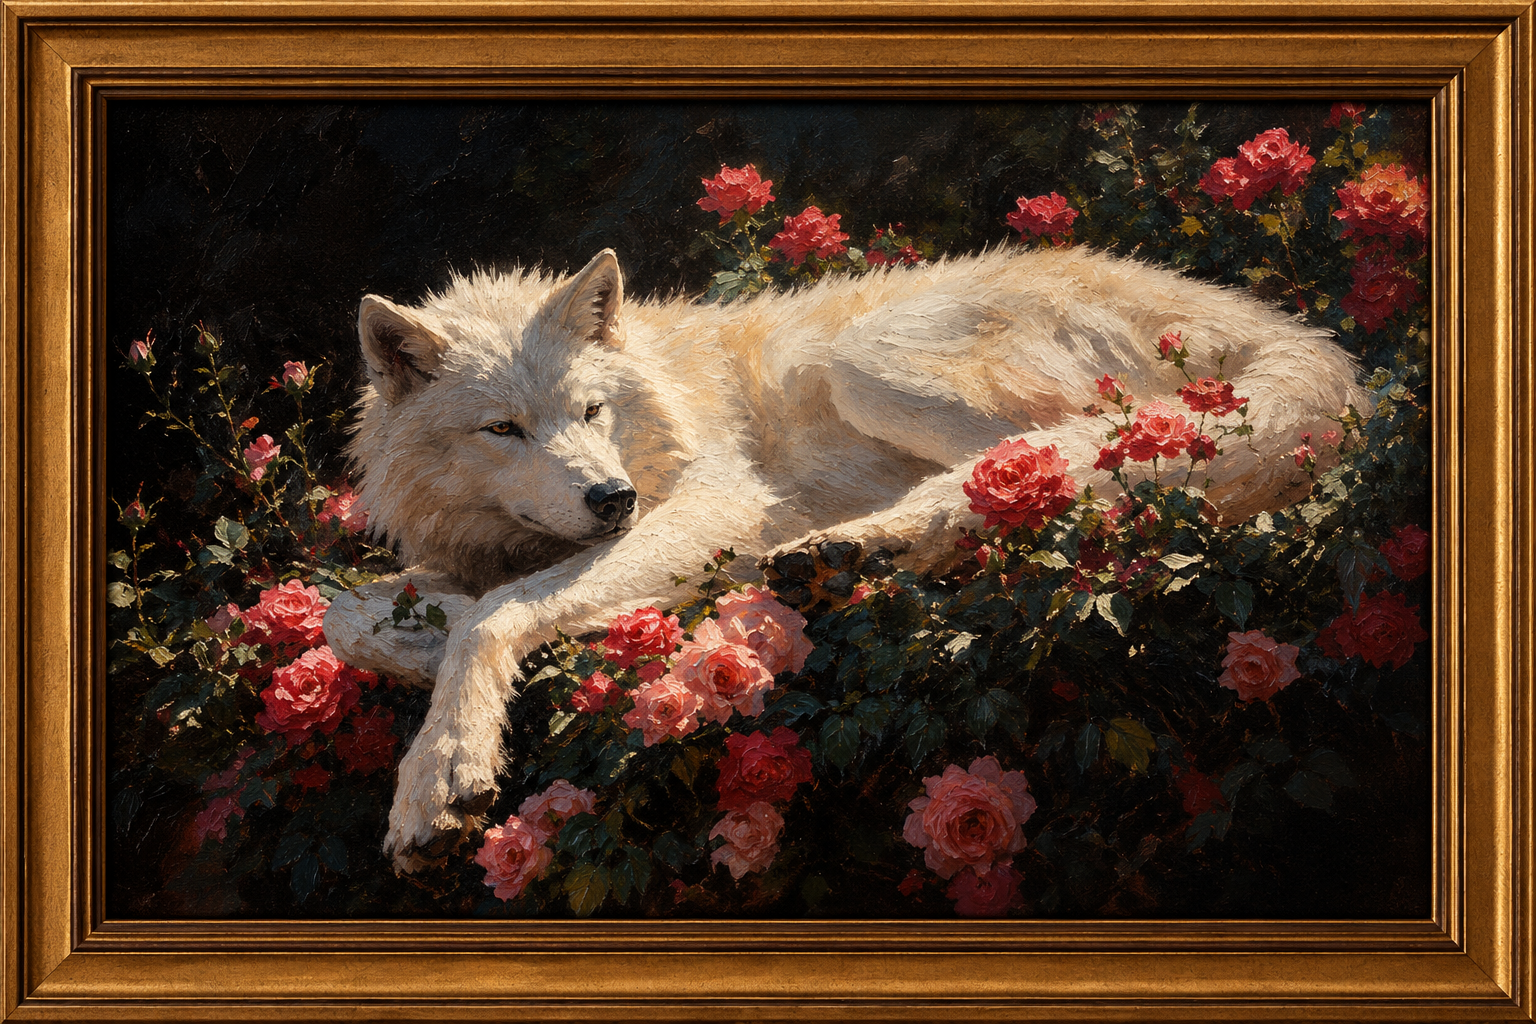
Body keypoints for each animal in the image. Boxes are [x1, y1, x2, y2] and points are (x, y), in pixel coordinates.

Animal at [320, 246, 1361, 872]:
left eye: (589, 410)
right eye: (502, 429)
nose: (610, 500)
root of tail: (1275, 327)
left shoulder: (718, 496)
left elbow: (494, 615)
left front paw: (440, 776)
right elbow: (347, 614)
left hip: (870, 360)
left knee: (1053, 477)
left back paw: (840, 553)